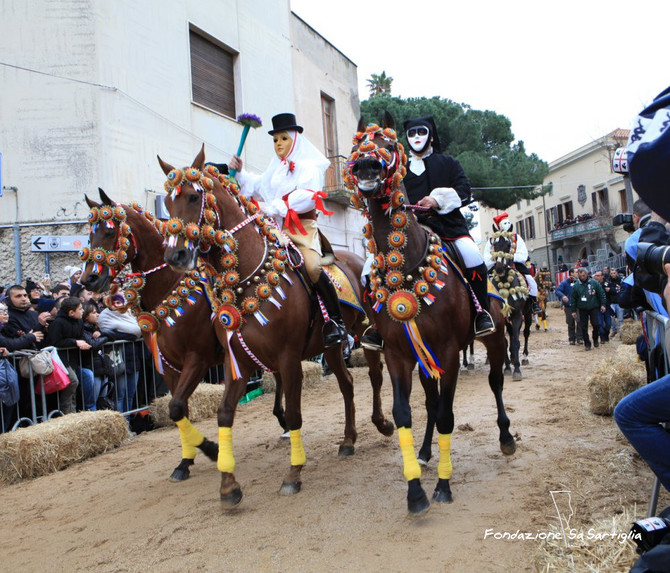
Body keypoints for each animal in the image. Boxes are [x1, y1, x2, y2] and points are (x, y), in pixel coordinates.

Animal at [79, 188, 224, 478]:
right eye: (90, 234)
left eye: (109, 232)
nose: (88, 279)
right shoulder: (167, 365)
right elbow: (179, 410)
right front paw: (185, 462)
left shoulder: (197, 358)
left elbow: (176, 407)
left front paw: (212, 450)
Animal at [157, 145, 396, 502]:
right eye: (168, 203)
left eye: (192, 196)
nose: (176, 257)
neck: (246, 277)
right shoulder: (236, 361)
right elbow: (223, 412)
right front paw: (228, 483)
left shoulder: (287, 357)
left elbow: (294, 414)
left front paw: (293, 474)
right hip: (331, 346)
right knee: (348, 384)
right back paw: (348, 440)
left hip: (364, 333)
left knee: (376, 377)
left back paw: (382, 423)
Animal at [346, 114, 516, 516]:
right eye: (357, 145)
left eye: (389, 145)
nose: (366, 168)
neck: (406, 265)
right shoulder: (398, 355)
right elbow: (406, 414)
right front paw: (415, 490)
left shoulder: (451, 352)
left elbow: (447, 416)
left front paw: (443, 486)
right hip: (425, 361)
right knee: (431, 401)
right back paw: (425, 452)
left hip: (495, 341)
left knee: (495, 383)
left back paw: (506, 437)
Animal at [490, 232, 532, 380]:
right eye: (494, 244)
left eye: (509, 245)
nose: (499, 268)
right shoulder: (500, 318)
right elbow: (505, 342)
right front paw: (507, 367)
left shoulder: (517, 315)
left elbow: (515, 342)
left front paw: (517, 370)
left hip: (528, 314)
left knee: (525, 333)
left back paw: (523, 357)